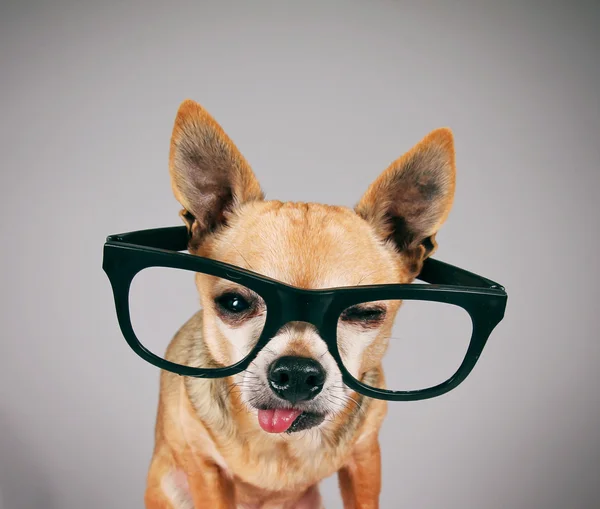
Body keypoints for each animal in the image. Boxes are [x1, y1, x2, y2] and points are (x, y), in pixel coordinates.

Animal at [144, 100, 454, 508]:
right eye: (233, 302)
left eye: (365, 313)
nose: (295, 373)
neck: (282, 446)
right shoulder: (205, 470)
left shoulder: (364, 459)